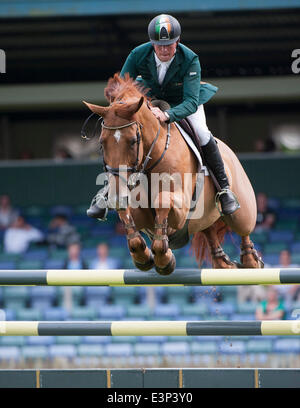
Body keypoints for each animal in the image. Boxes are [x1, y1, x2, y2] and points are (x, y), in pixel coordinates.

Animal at [83, 74, 264, 276]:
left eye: (133, 141)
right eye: (101, 143)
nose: (117, 195)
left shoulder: (181, 207)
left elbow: (162, 201)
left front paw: (164, 258)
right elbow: (128, 216)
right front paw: (144, 256)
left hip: (242, 213)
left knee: (244, 230)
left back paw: (250, 259)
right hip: (205, 219)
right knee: (211, 235)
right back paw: (224, 262)